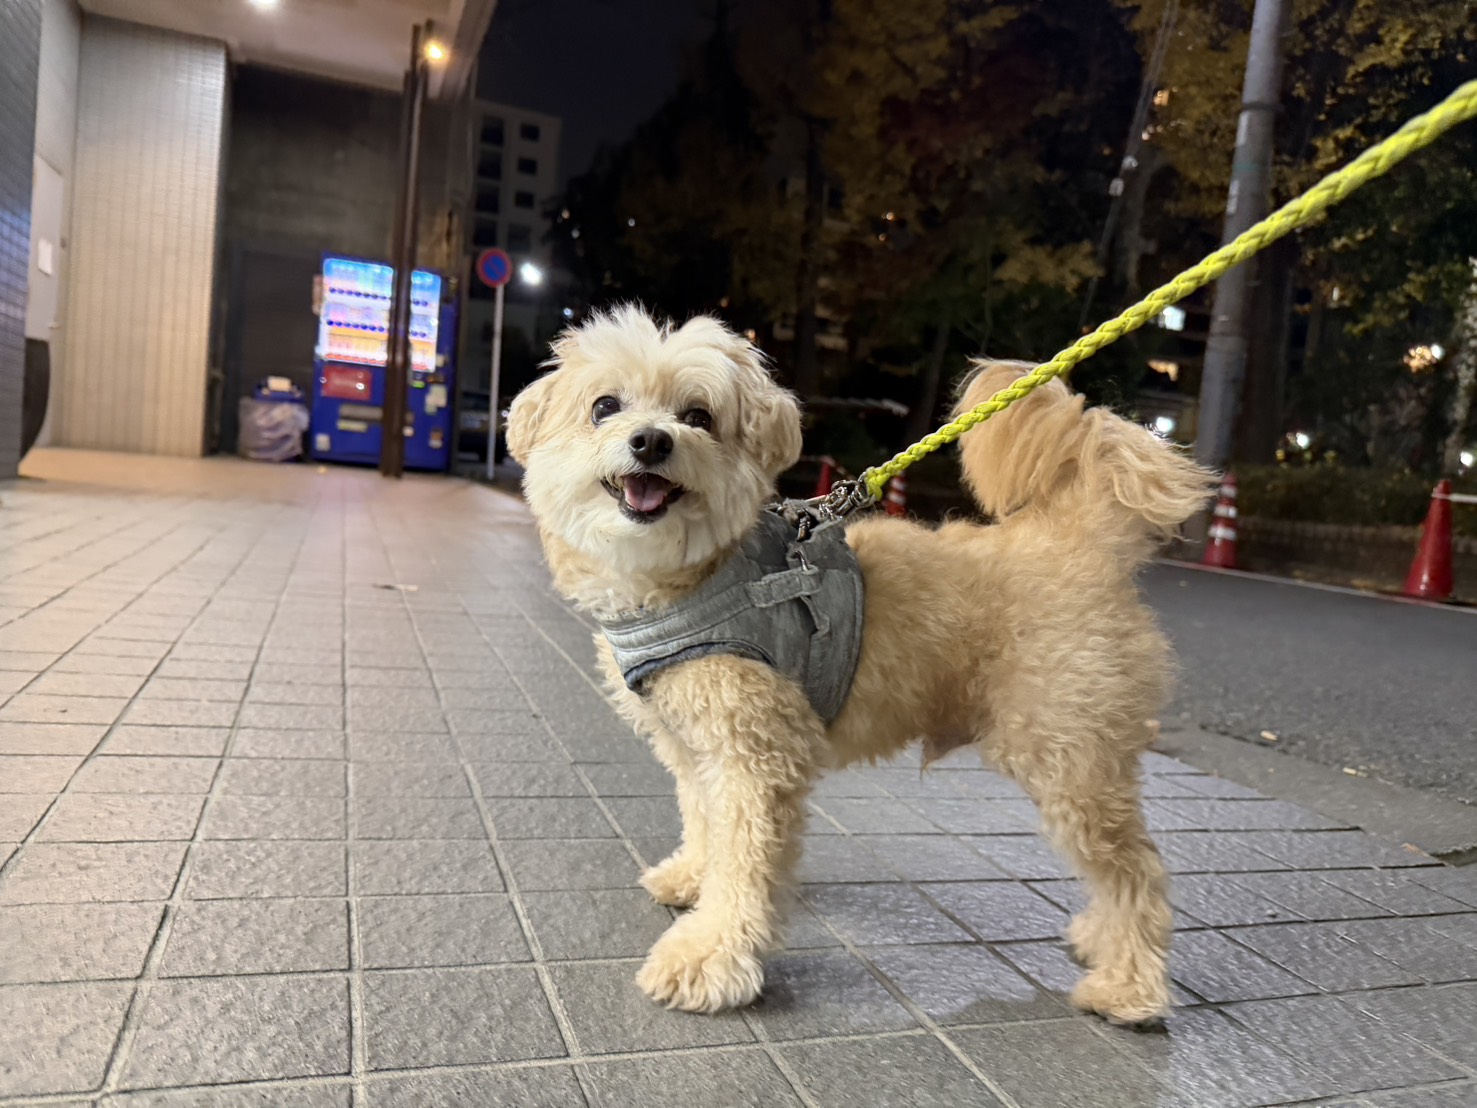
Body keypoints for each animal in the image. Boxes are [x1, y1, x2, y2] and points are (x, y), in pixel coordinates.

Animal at [506, 305, 1215, 1025]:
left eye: (698, 416)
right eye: (604, 406)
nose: (651, 441)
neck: (695, 577)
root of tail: (1082, 537)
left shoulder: (756, 758)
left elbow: (743, 863)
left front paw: (709, 960)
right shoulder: (696, 748)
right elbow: (706, 826)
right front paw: (691, 877)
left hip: (1068, 756)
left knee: (1136, 871)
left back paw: (1128, 987)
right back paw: (1100, 942)